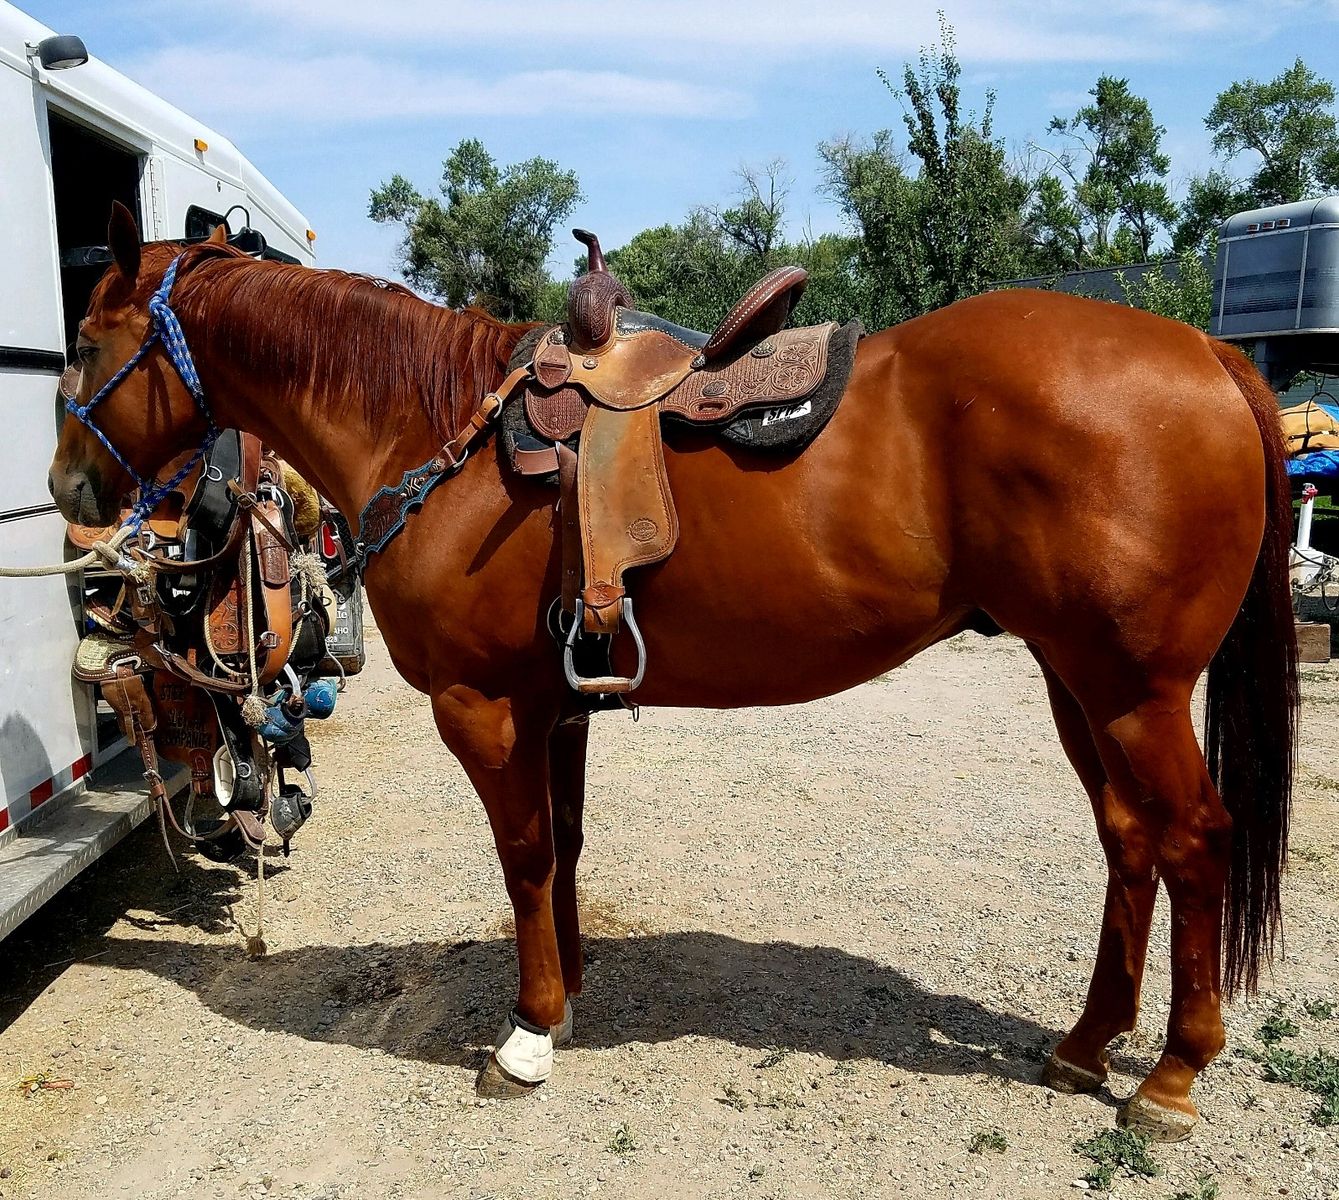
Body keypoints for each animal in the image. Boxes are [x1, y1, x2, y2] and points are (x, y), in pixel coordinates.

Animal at [47, 205, 1297, 1140]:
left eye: (88, 347)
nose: (66, 492)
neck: (431, 424)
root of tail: (1204, 354)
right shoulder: (553, 706)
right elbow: (561, 847)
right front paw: (568, 991)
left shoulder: (483, 708)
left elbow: (522, 855)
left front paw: (527, 1035)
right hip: (1074, 677)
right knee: (1129, 842)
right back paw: (1085, 1047)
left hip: (1132, 689)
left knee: (1192, 842)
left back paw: (1171, 1077)